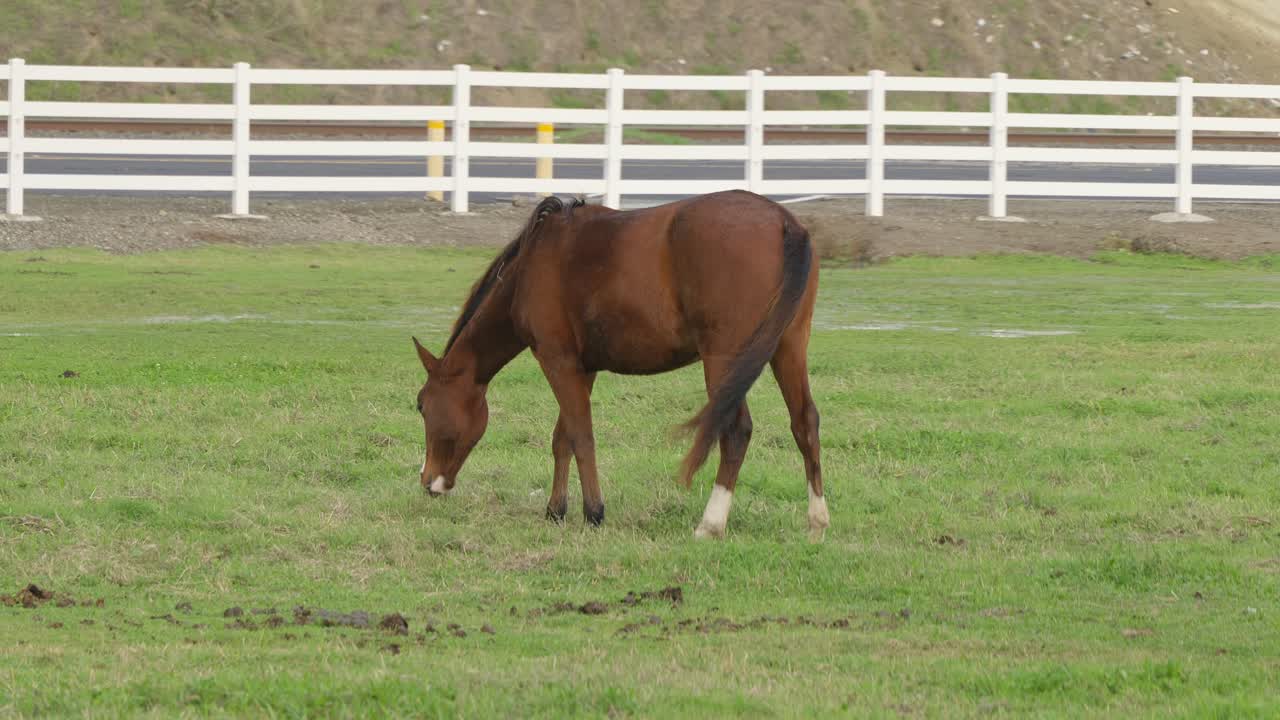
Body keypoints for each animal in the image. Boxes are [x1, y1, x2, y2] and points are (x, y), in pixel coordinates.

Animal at [412, 190, 826, 538]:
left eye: (421, 406)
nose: (427, 480)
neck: (535, 262)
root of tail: (784, 222)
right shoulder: (583, 368)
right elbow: (563, 438)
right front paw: (556, 509)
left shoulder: (557, 361)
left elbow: (582, 437)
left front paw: (593, 512)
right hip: (788, 349)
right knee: (804, 422)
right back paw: (817, 520)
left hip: (724, 361)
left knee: (737, 430)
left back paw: (710, 524)